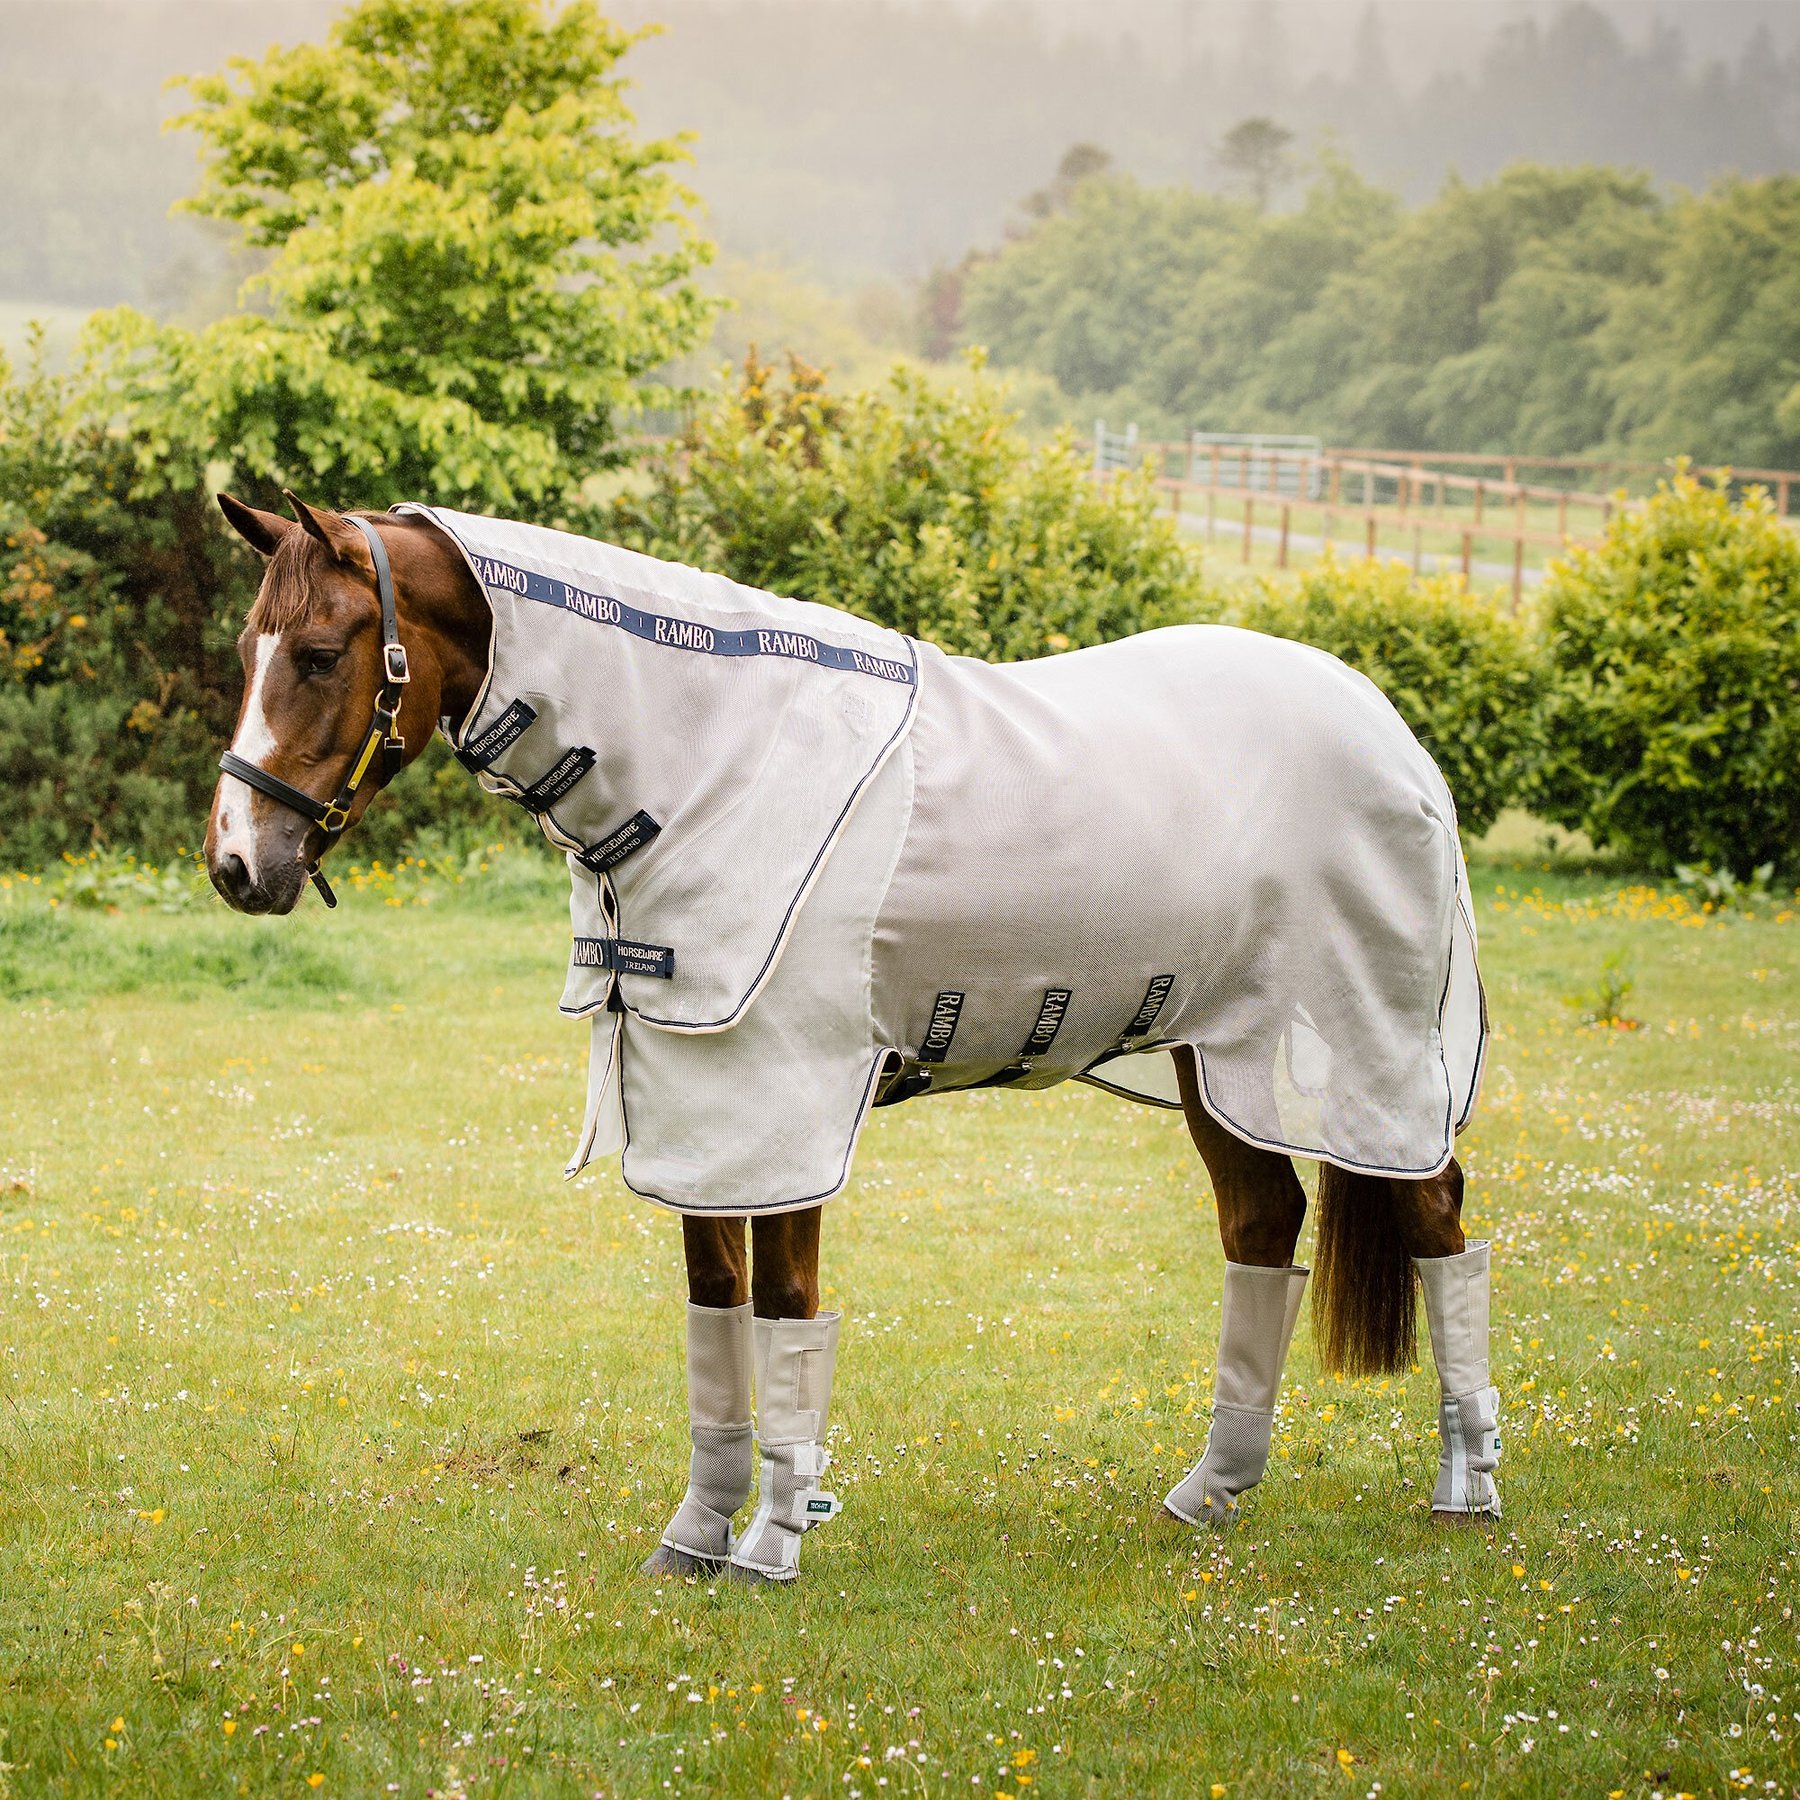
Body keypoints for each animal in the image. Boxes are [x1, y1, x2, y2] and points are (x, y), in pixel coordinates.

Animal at [203, 491, 1502, 1585]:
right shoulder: (704, 1110)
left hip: (1374, 1044)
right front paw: (696, 1537)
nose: (236, 864)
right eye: (248, 655)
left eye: (319, 655)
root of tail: (1391, 733)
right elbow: (716, 1310)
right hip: (1215, 1057)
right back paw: (1209, 1492)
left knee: (1437, 1219)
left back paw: (1466, 1493)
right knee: (1264, 1226)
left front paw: (772, 1546)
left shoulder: (790, 1104)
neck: (709, 763)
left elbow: (786, 1310)